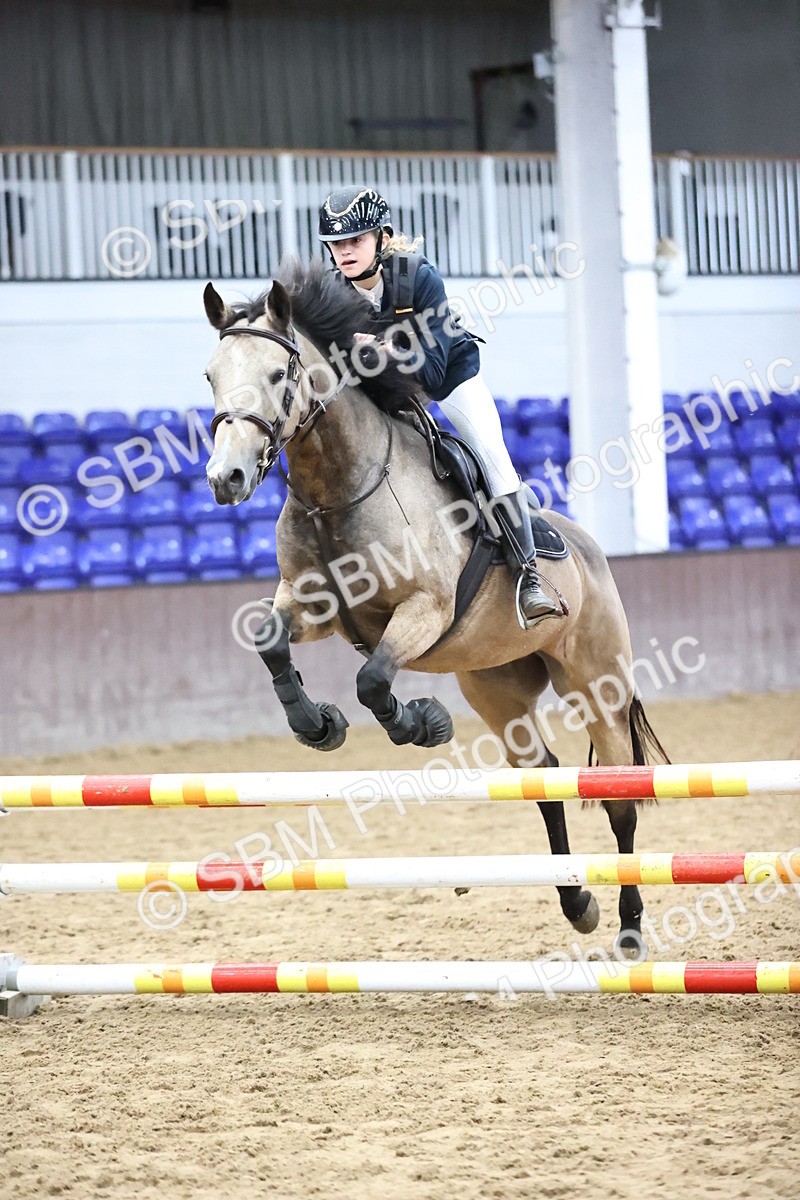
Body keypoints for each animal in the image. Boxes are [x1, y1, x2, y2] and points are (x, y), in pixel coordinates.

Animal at [202, 258, 668, 958]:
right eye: (210, 375)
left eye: (279, 375)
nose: (225, 478)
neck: (337, 487)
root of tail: (591, 550)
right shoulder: (309, 606)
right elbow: (270, 640)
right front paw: (317, 725)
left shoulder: (423, 610)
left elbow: (373, 680)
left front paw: (422, 723)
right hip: (497, 688)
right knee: (543, 779)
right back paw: (577, 903)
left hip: (596, 682)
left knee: (618, 799)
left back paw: (631, 927)